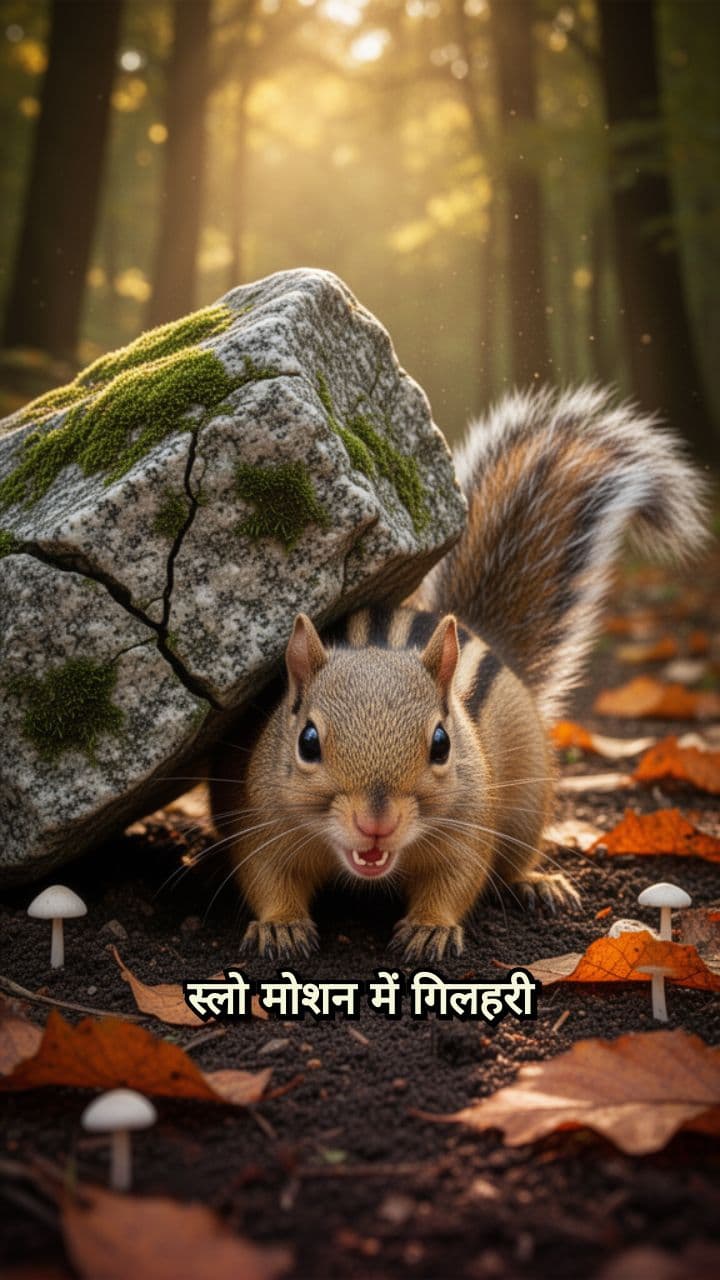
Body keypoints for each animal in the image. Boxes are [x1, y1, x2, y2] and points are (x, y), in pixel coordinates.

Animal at [210, 386, 707, 961]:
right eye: (307, 742)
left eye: (442, 744)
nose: (375, 825)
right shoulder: (261, 819)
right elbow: (266, 877)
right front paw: (280, 925)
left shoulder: (467, 827)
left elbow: (457, 879)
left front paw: (431, 928)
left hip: (527, 806)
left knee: (511, 861)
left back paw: (535, 883)